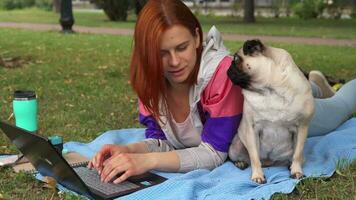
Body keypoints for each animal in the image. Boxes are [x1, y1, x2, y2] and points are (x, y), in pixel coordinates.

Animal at [228, 39, 314, 184]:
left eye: (236, 59)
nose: (228, 70)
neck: (270, 90)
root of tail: (270, 163)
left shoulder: (302, 127)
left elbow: (297, 154)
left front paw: (296, 171)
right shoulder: (252, 129)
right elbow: (254, 157)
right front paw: (257, 175)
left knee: (297, 157)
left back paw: (290, 165)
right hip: (235, 146)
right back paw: (240, 162)